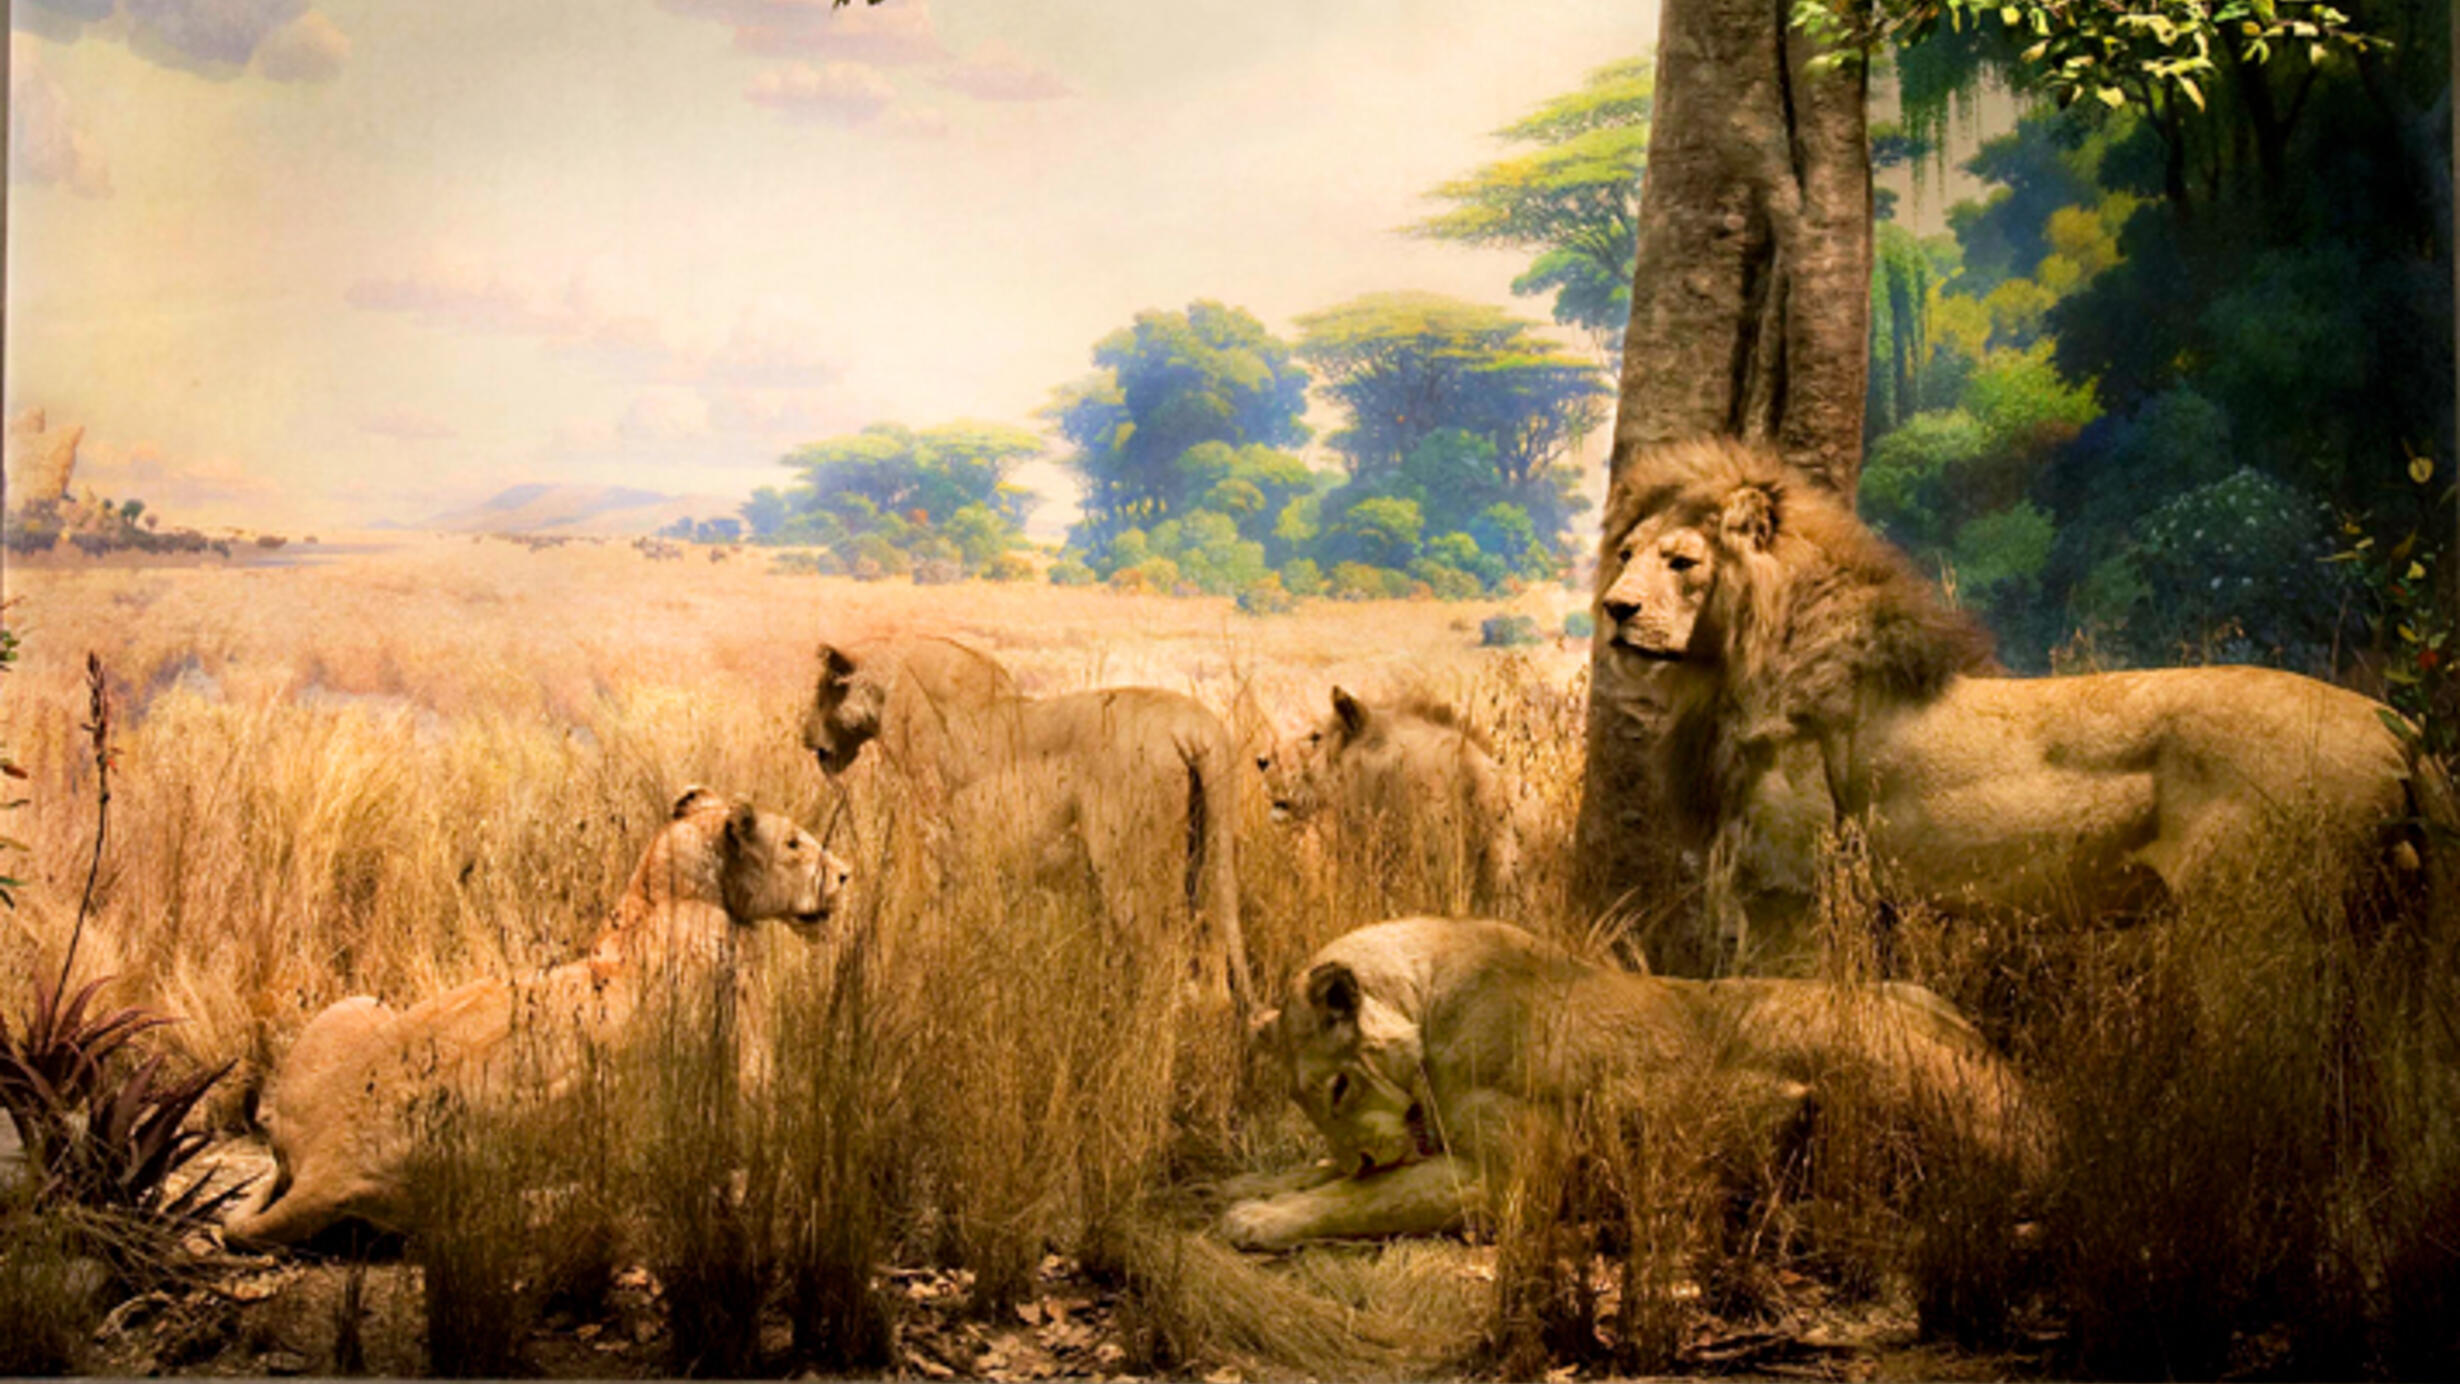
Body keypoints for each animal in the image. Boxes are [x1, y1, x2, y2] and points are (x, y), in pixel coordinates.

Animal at [226, 786, 856, 1248]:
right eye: (795, 843)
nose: (847, 874)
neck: (668, 892)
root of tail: (320, 1162)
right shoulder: (749, 1046)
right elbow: (777, 1106)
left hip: (357, 1005)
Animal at [806, 634, 1259, 1002]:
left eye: (824, 688)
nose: (806, 736)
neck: (891, 682)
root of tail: (1203, 727)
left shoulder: (923, 837)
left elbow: (908, 925)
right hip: (1205, 865)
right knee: (1214, 972)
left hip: (1130, 873)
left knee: (1167, 963)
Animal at [1215, 914, 2036, 1248]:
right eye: (1307, 1102)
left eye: (1337, 1089)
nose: (1358, 1151)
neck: (1427, 995)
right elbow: (1337, 1179)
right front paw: (1269, 1183)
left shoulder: (1517, 1176)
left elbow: (1365, 1200)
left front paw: (1258, 1217)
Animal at [1594, 437, 2440, 968]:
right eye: (1626, 555)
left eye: (1681, 562)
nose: (1614, 608)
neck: (1730, 668)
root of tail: (2400, 730)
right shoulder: (1869, 903)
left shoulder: (1790, 891)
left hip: (2257, 919)